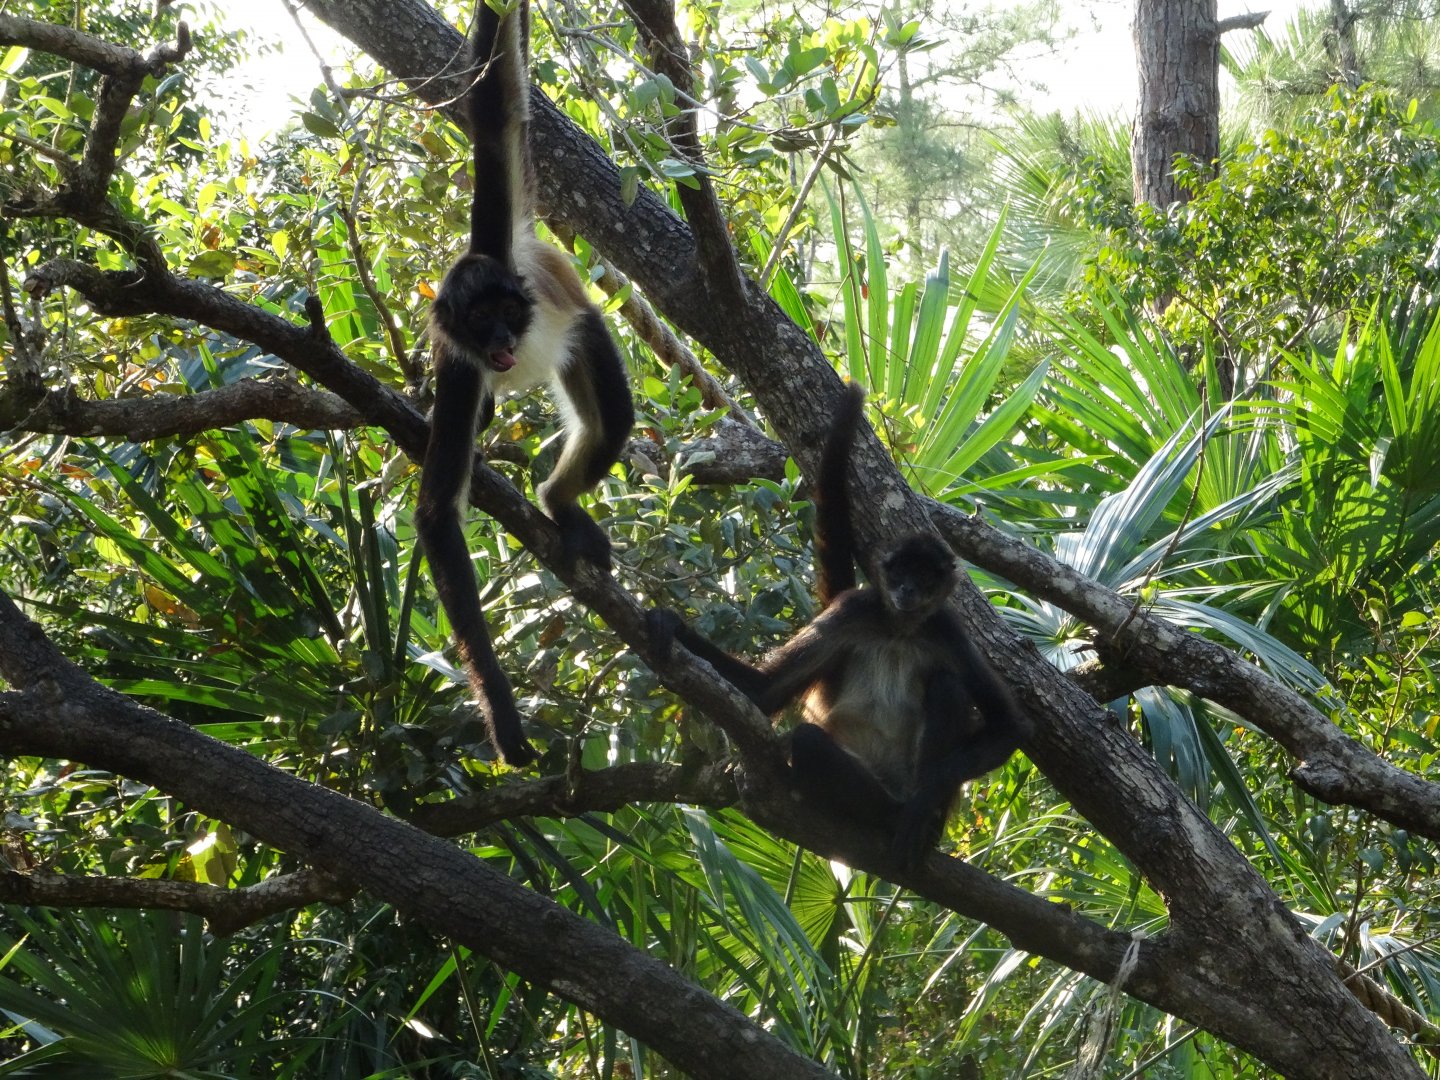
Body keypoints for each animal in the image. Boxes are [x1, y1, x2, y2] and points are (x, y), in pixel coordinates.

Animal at [414, 0, 635, 767]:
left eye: (508, 313)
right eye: (481, 324)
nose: (506, 347)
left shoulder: (502, 246)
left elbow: (495, 111)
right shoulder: (459, 369)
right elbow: (437, 516)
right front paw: (502, 713)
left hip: (582, 335)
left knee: (611, 420)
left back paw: (558, 503)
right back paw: (551, 499)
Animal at [650, 385, 1023, 867]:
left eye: (924, 578)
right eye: (900, 573)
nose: (906, 591)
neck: (896, 630)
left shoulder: (945, 629)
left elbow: (1009, 727)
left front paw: (925, 803)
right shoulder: (854, 611)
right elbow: (763, 693)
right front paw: (670, 624)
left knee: (948, 686)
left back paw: (920, 816)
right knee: (808, 742)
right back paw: (890, 816)